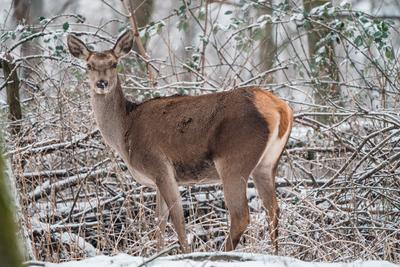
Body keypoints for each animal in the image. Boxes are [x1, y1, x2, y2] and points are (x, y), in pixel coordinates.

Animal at [67, 30, 294, 254]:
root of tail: (280, 109)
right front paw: (156, 253)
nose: (101, 83)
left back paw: (222, 252)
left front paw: (183, 252)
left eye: (114, 63)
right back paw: (275, 252)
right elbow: (159, 220)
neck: (125, 132)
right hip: (267, 164)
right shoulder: (158, 180)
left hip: (234, 159)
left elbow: (177, 218)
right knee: (273, 208)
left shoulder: (160, 167)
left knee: (241, 216)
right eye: (89, 65)